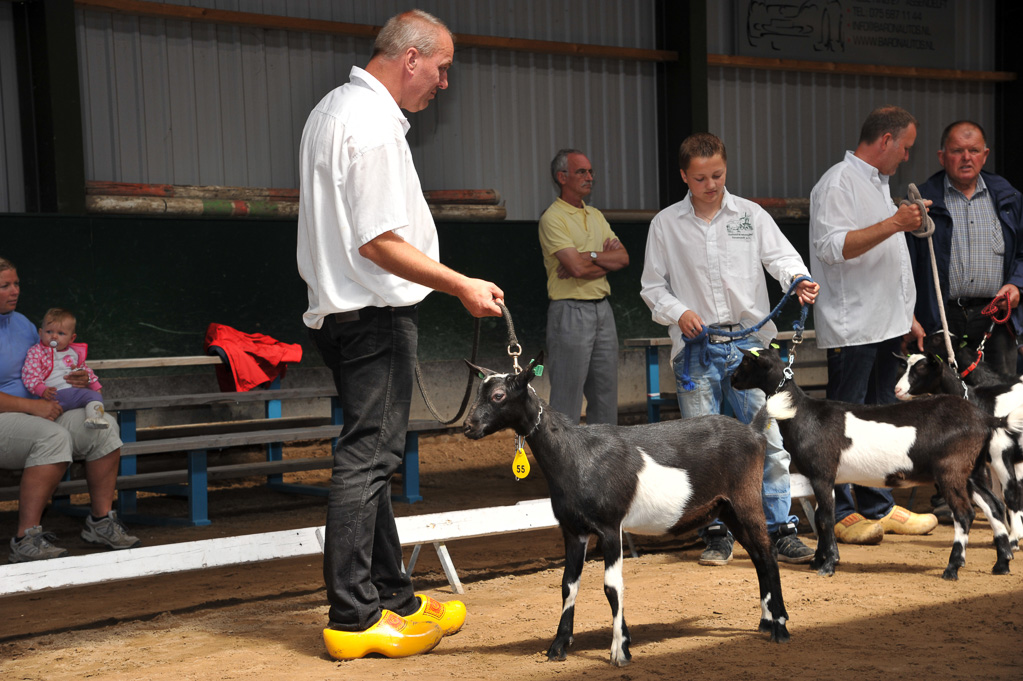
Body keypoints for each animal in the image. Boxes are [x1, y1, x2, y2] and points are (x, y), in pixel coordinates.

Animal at [464, 351, 789, 666]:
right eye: (478, 392)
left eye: (498, 396)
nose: (468, 427)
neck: (577, 455)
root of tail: (754, 431)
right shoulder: (573, 530)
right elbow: (568, 584)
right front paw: (558, 646)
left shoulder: (610, 527)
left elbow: (612, 585)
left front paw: (620, 650)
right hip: (727, 509)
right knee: (757, 555)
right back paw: (765, 621)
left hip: (746, 498)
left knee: (768, 551)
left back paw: (781, 626)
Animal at [896, 351, 1023, 543]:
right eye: (905, 366)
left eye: (921, 368)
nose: (897, 390)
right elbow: (997, 496)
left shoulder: (1001, 453)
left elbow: (1010, 494)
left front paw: (1015, 538)